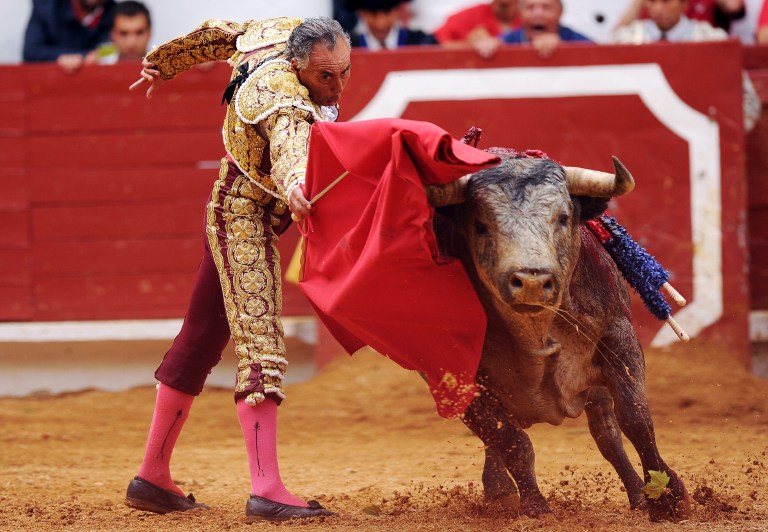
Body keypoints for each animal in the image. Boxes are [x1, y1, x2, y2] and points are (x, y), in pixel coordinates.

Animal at [426, 151, 688, 524]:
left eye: (563, 218)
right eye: (480, 224)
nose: (532, 281)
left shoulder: (618, 337)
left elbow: (635, 418)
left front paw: (667, 498)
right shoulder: (452, 376)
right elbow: (511, 441)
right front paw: (535, 507)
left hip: (597, 392)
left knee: (607, 435)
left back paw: (638, 494)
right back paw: (499, 493)